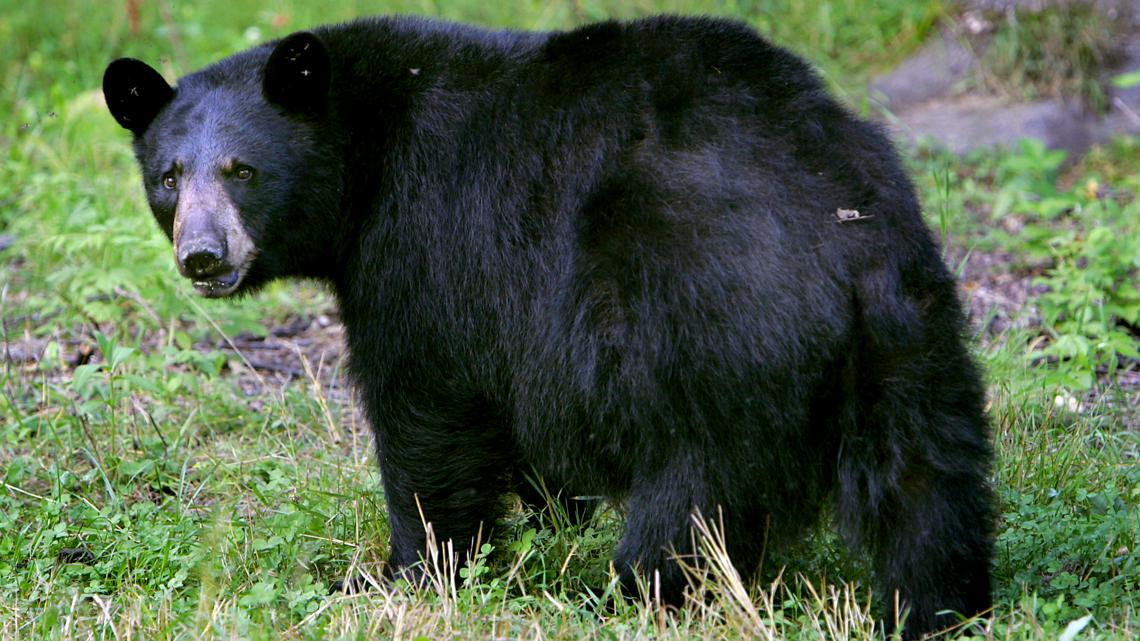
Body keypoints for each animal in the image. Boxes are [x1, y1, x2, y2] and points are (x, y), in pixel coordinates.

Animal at [103, 15, 994, 638]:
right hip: (910, 334)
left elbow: (424, 413)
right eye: (168, 176)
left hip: (710, 330)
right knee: (928, 482)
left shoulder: (426, 246)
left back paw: (629, 593)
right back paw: (940, 606)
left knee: (694, 497)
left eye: (243, 169)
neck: (365, 155)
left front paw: (405, 573)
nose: (203, 256)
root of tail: (836, 234)